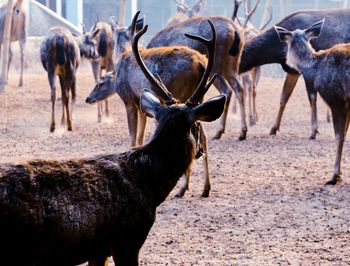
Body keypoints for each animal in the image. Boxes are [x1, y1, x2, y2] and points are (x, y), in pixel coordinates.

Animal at [86, 11, 219, 197]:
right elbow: (141, 137)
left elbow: (132, 136)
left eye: (100, 83)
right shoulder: (143, 105)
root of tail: (201, 62)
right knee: (203, 135)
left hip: (183, 94)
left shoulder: (129, 101)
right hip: (197, 98)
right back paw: (205, 188)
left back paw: (182, 188)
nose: (88, 98)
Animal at [239, 8, 350, 139]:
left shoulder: (304, 71)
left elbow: (312, 98)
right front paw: (273, 129)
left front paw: (314, 131)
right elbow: (283, 97)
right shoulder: (292, 71)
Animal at [274, 19, 350, 186]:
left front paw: (335, 176)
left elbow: (339, 136)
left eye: (286, 43)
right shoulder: (348, 104)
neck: (315, 69)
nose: (285, 63)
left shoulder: (336, 99)